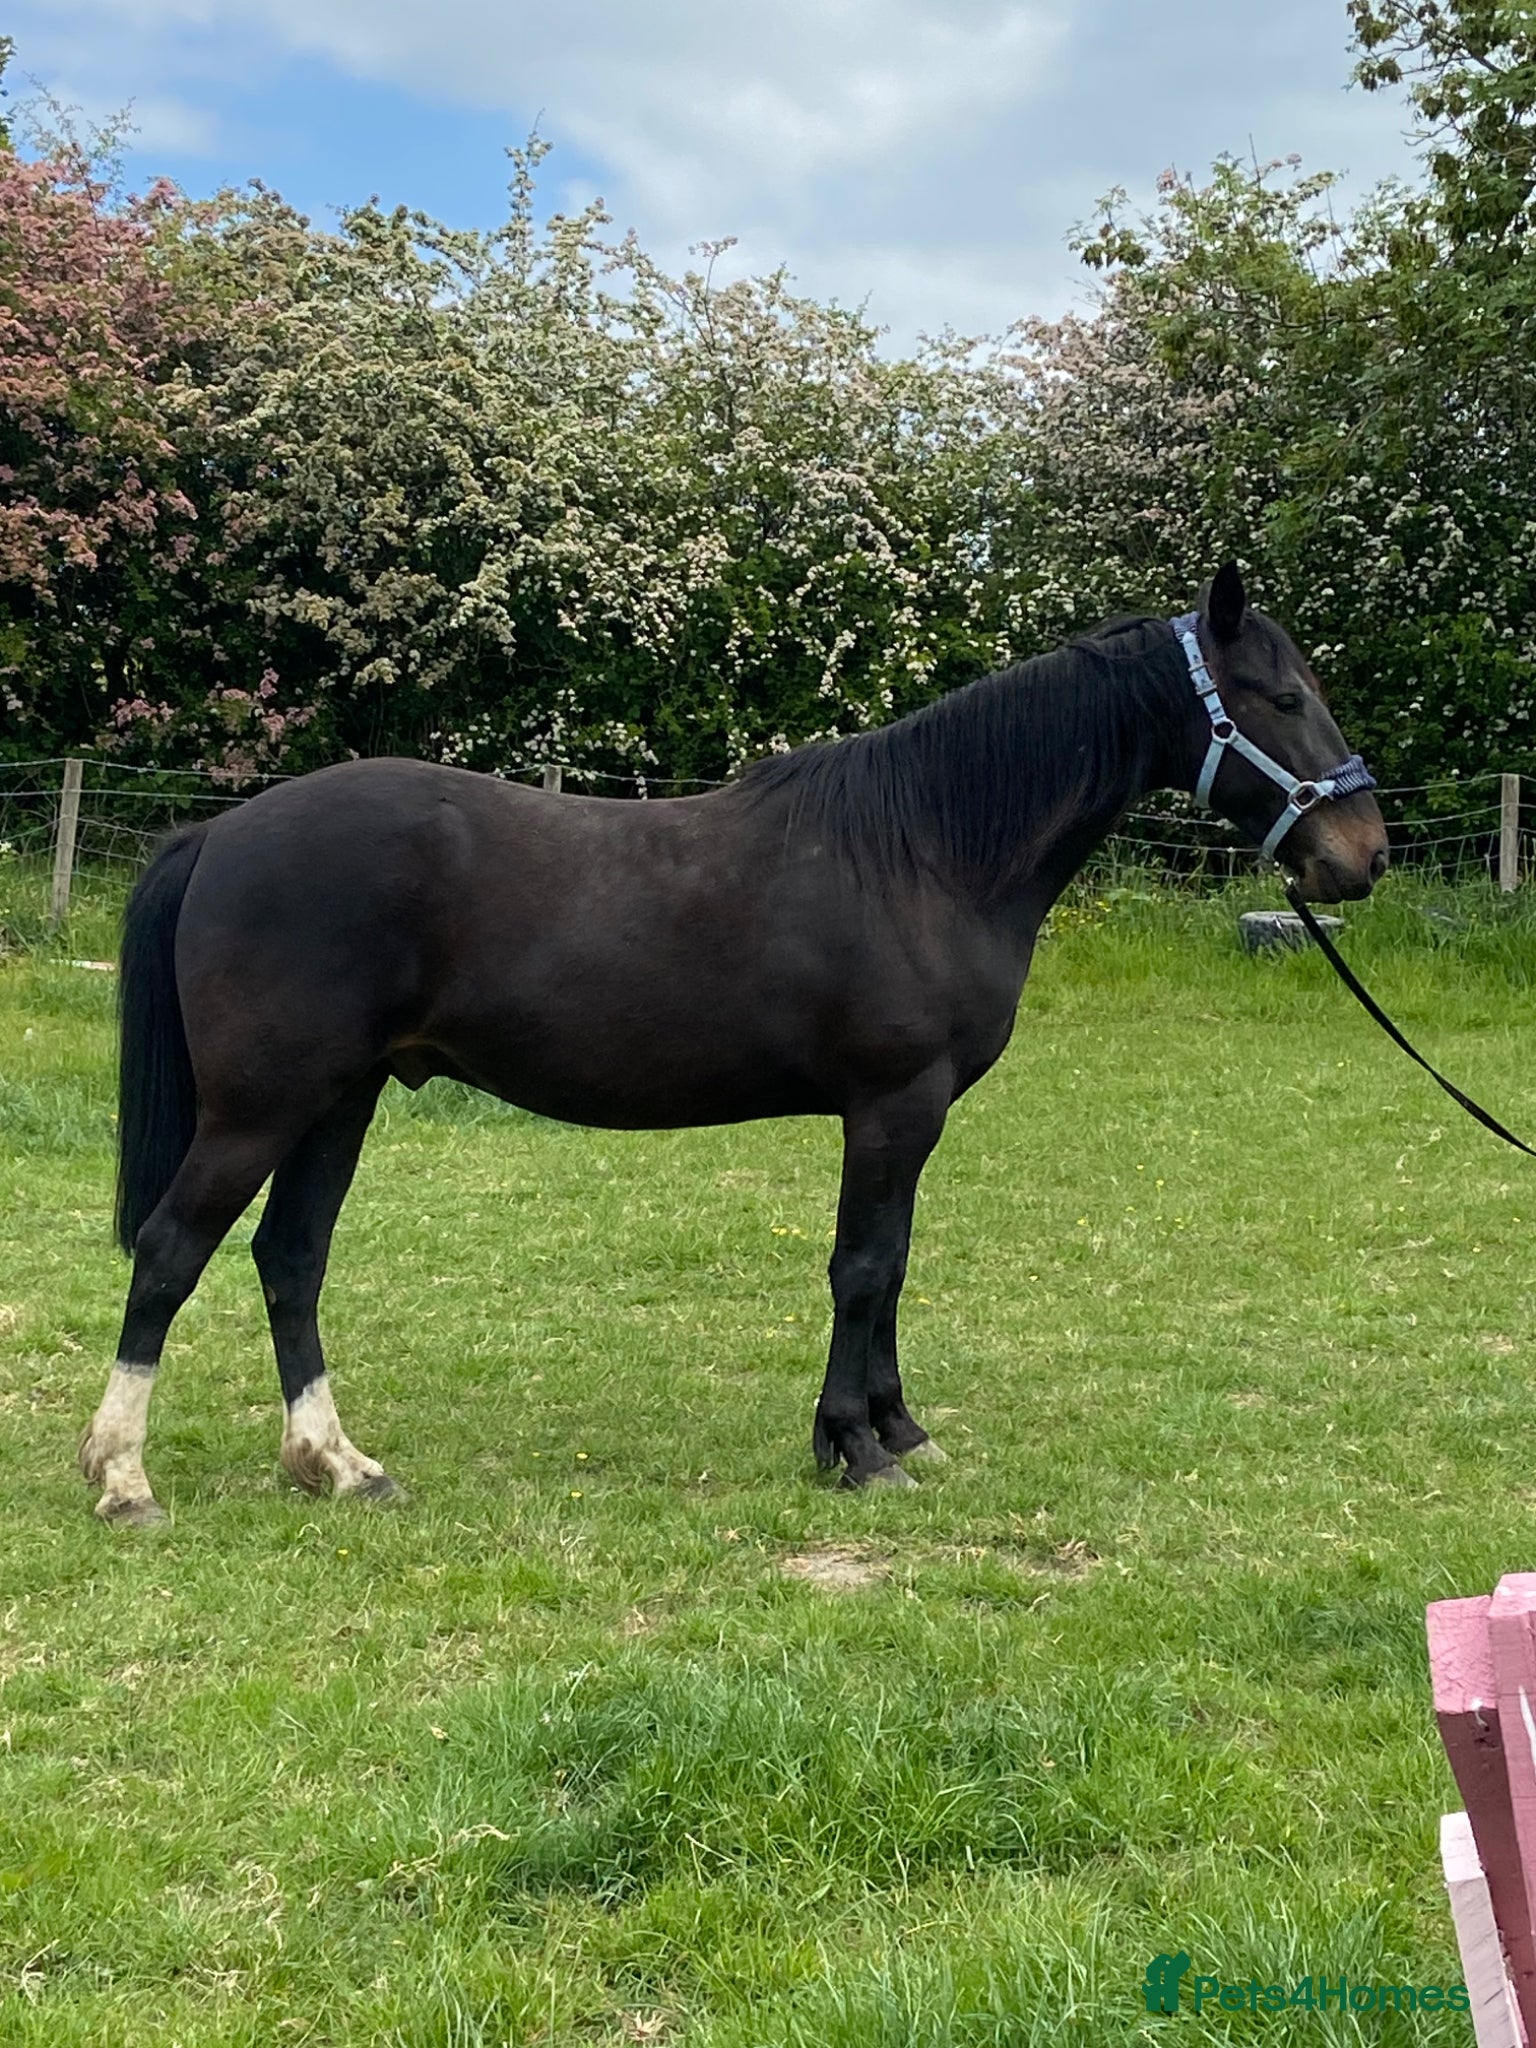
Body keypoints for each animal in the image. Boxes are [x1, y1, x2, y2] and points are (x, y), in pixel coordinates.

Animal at [80, 564, 1388, 1523]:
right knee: (172, 1251)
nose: (1363, 855)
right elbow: (863, 1266)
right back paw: (124, 1477)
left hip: (338, 1100)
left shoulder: (911, 1117)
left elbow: (893, 1266)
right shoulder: (893, 1104)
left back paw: (337, 1462)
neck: (925, 851)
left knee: (288, 1259)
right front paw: (858, 1448)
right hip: (261, 1106)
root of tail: (224, 831)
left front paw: (896, 1427)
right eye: (1279, 697)